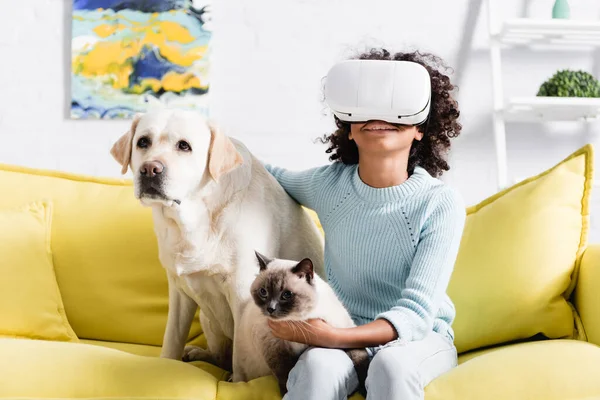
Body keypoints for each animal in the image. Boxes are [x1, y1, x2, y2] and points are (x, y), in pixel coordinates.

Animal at [236, 252, 370, 396]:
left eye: (286, 295)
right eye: (263, 292)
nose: (270, 309)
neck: (295, 322)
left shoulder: (343, 330)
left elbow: (361, 360)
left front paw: (365, 390)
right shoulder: (274, 348)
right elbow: (285, 374)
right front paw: (285, 392)